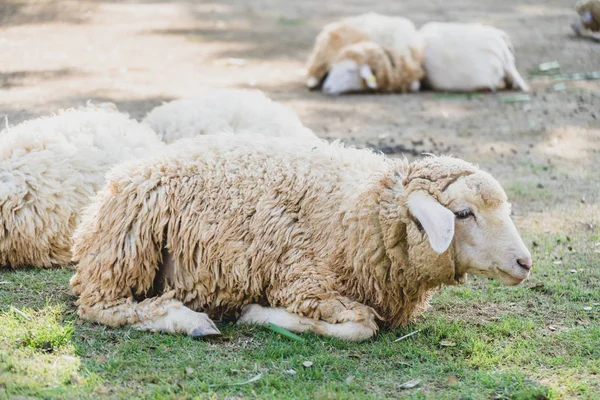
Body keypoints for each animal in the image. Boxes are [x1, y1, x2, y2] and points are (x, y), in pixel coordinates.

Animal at [70, 134, 536, 340]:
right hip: (126, 249)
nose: (524, 263)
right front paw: (256, 314)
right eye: (463, 213)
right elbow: (361, 327)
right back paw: (190, 321)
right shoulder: (303, 281)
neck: (361, 213)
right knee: (103, 307)